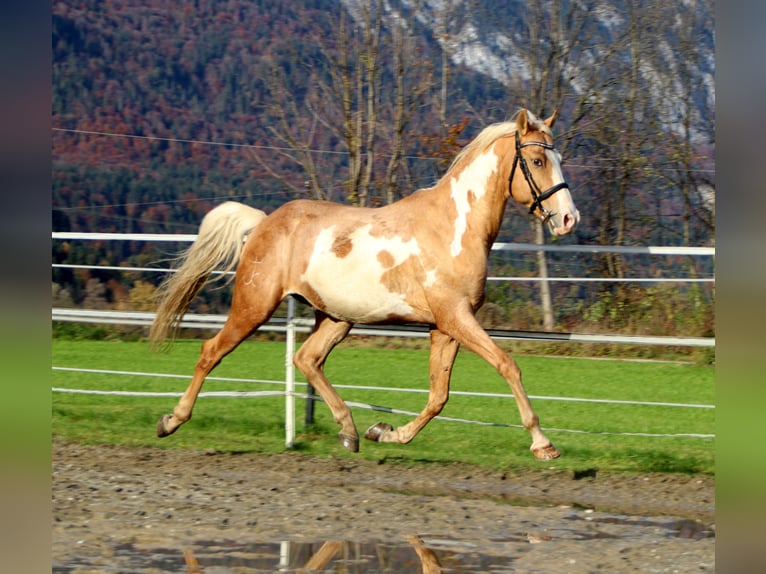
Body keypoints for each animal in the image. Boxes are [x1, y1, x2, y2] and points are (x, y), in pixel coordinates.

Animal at [149, 109, 580, 461]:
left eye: (560, 159)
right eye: (538, 160)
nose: (568, 219)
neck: (453, 229)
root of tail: (263, 223)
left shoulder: (445, 327)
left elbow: (438, 396)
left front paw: (385, 432)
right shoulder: (455, 318)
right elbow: (507, 365)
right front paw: (544, 445)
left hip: (336, 317)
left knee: (307, 359)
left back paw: (351, 431)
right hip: (254, 305)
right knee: (212, 351)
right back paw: (170, 421)